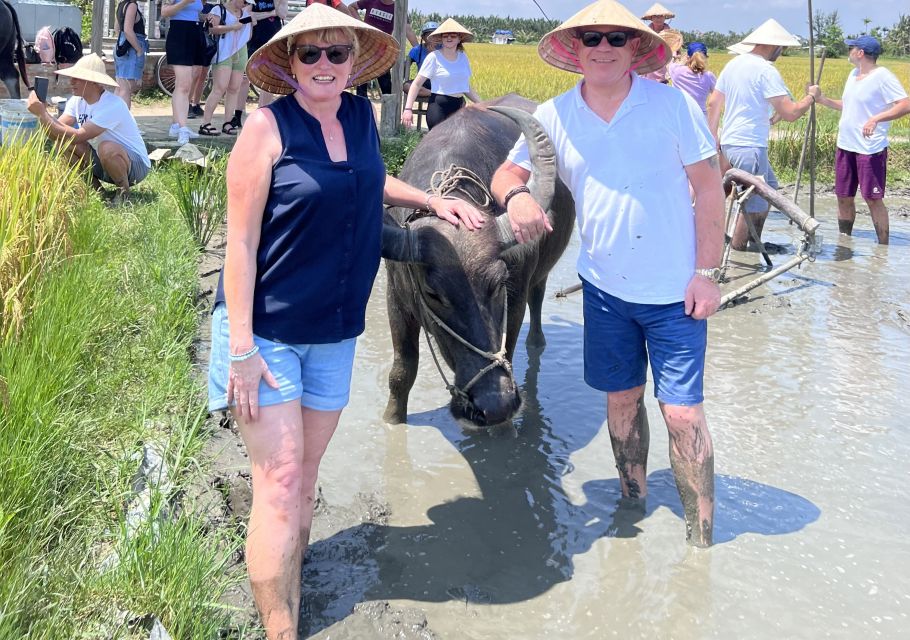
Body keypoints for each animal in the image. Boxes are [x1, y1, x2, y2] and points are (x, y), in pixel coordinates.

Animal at [382, 94, 572, 424]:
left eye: (497, 285)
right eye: (433, 294)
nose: (494, 405)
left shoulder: (514, 300)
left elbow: (509, 349)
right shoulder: (396, 298)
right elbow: (402, 372)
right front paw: (392, 420)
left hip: (540, 276)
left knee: (537, 299)